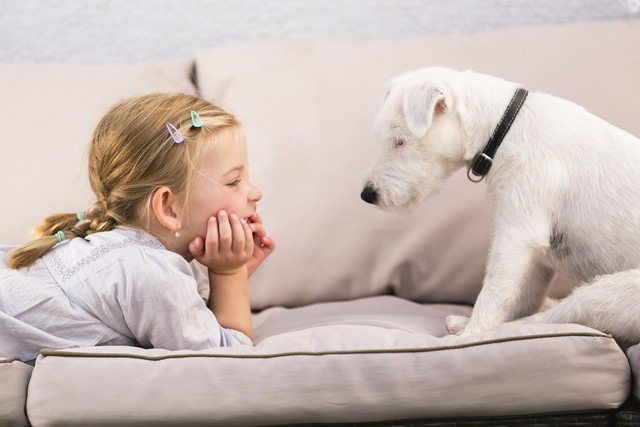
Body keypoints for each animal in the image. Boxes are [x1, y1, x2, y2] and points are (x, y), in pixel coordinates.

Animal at [362, 67, 640, 348]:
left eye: (400, 141)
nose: (367, 195)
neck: (504, 126)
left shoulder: (516, 236)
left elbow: (495, 293)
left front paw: (473, 335)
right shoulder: (535, 256)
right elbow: (523, 297)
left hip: (608, 293)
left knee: (549, 319)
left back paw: (461, 326)